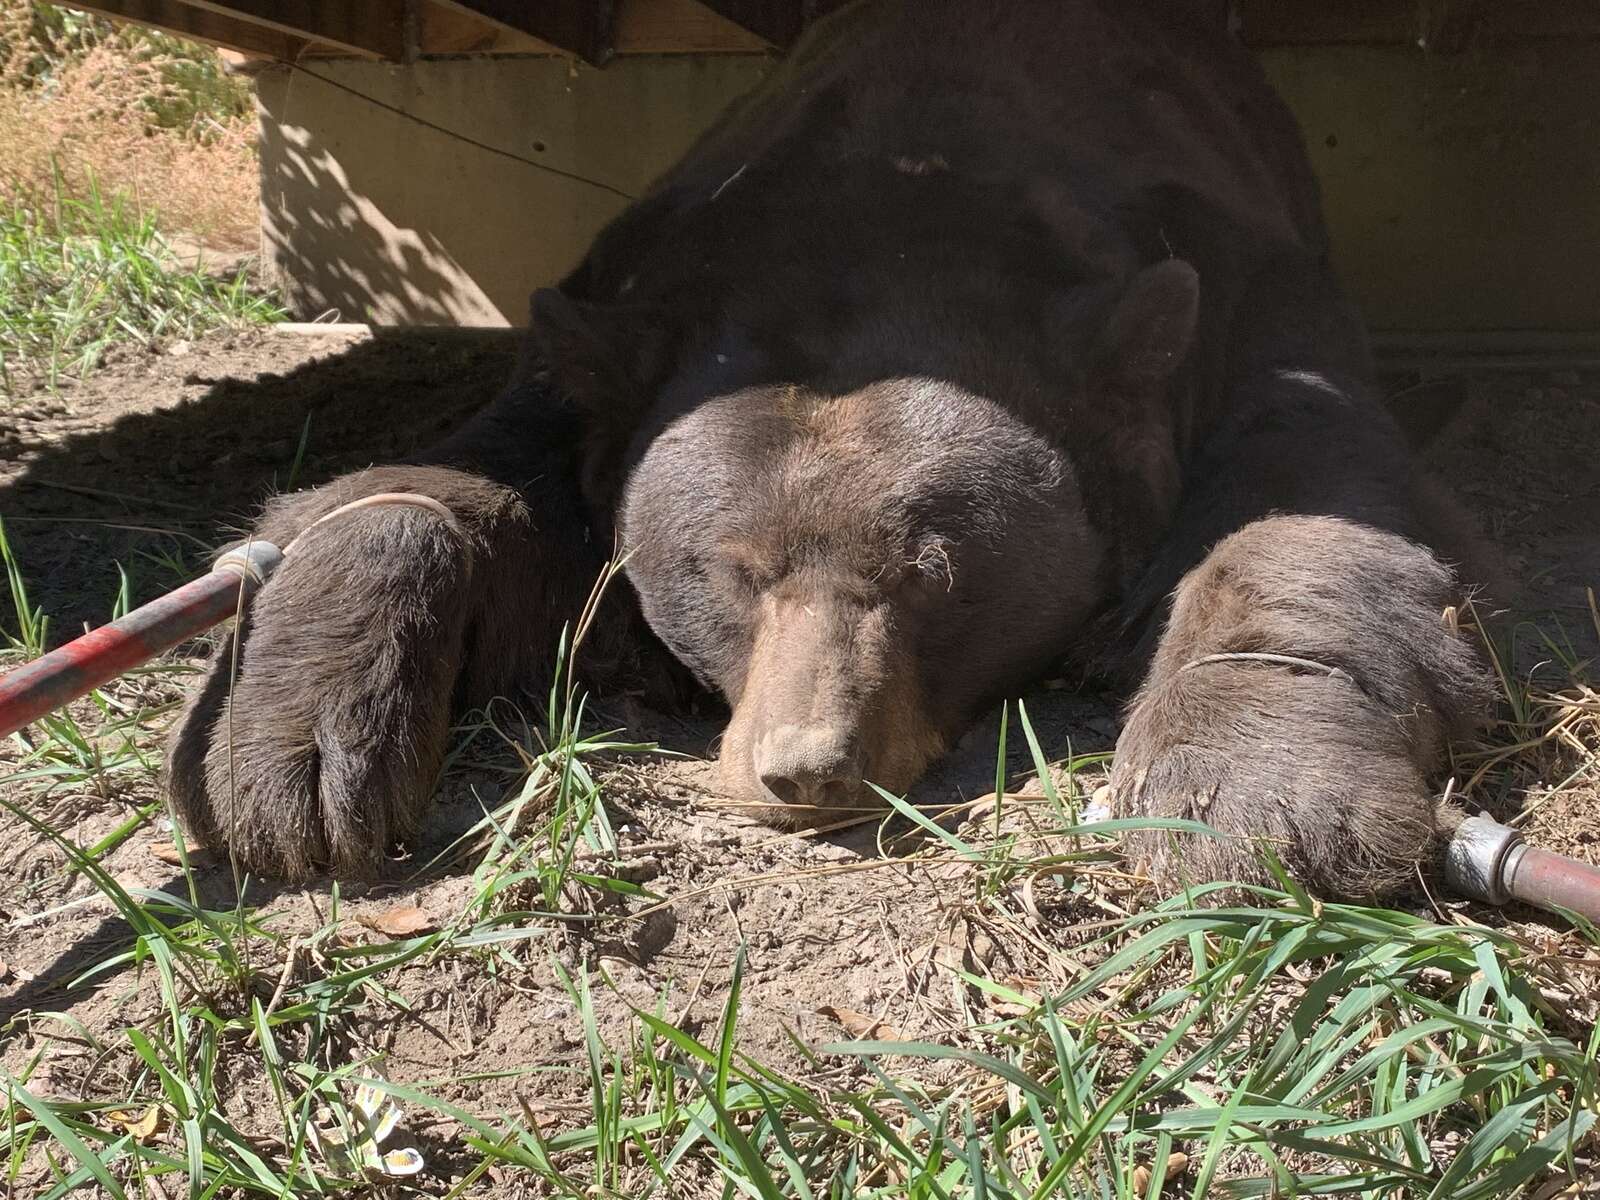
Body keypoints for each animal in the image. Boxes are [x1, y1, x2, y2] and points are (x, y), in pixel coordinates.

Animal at [162, 0, 1484, 896]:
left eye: (935, 571)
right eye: (727, 573)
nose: (805, 767)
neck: (895, 198)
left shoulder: (1238, 278)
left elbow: (1311, 479)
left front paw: (1253, 789)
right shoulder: (621, 312)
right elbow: (449, 481)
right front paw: (293, 757)